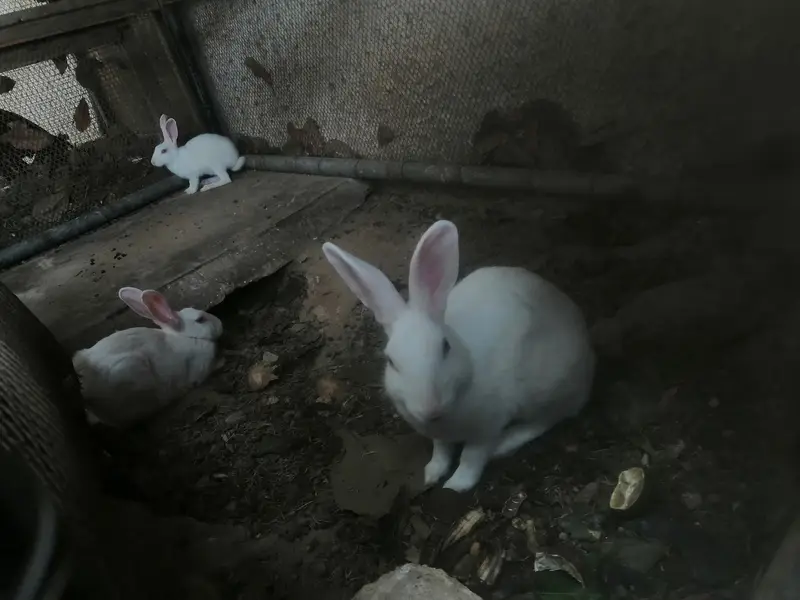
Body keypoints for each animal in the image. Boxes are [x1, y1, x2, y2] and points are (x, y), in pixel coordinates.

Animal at [322, 220, 595, 492]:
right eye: (391, 361)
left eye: (445, 347)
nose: (430, 408)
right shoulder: (439, 436)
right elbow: (441, 451)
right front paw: (432, 474)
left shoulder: (488, 426)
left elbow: (472, 456)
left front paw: (456, 486)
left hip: (550, 387)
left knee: (548, 419)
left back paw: (505, 444)